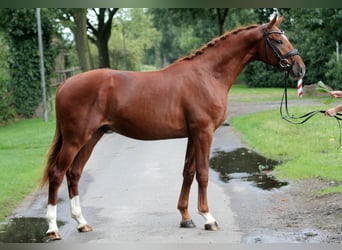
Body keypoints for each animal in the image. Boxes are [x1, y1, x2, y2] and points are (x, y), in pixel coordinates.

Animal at [39, 14, 304, 240]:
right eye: (278, 40)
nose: (300, 68)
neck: (208, 75)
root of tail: (65, 84)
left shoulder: (192, 135)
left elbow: (188, 172)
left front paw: (186, 217)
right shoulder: (204, 133)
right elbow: (203, 174)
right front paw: (208, 218)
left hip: (92, 136)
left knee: (74, 173)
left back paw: (81, 222)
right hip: (75, 138)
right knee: (57, 173)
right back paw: (53, 228)